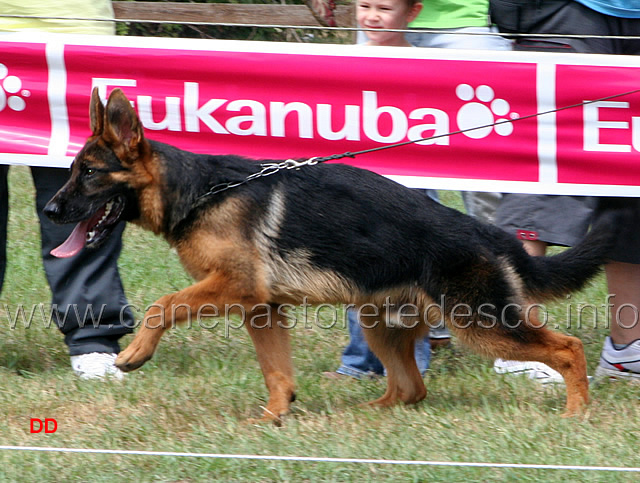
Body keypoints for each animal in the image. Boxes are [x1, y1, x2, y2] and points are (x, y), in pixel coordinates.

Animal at [45, 89, 620, 422]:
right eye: (72, 171)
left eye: (88, 174)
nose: (51, 209)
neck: (201, 192)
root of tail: (492, 234)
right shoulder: (262, 308)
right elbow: (277, 372)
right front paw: (273, 418)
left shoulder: (235, 288)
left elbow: (162, 304)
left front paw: (133, 354)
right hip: (379, 323)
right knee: (410, 389)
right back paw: (368, 412)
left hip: (479, 323)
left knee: (567, 348)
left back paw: (576, 412)